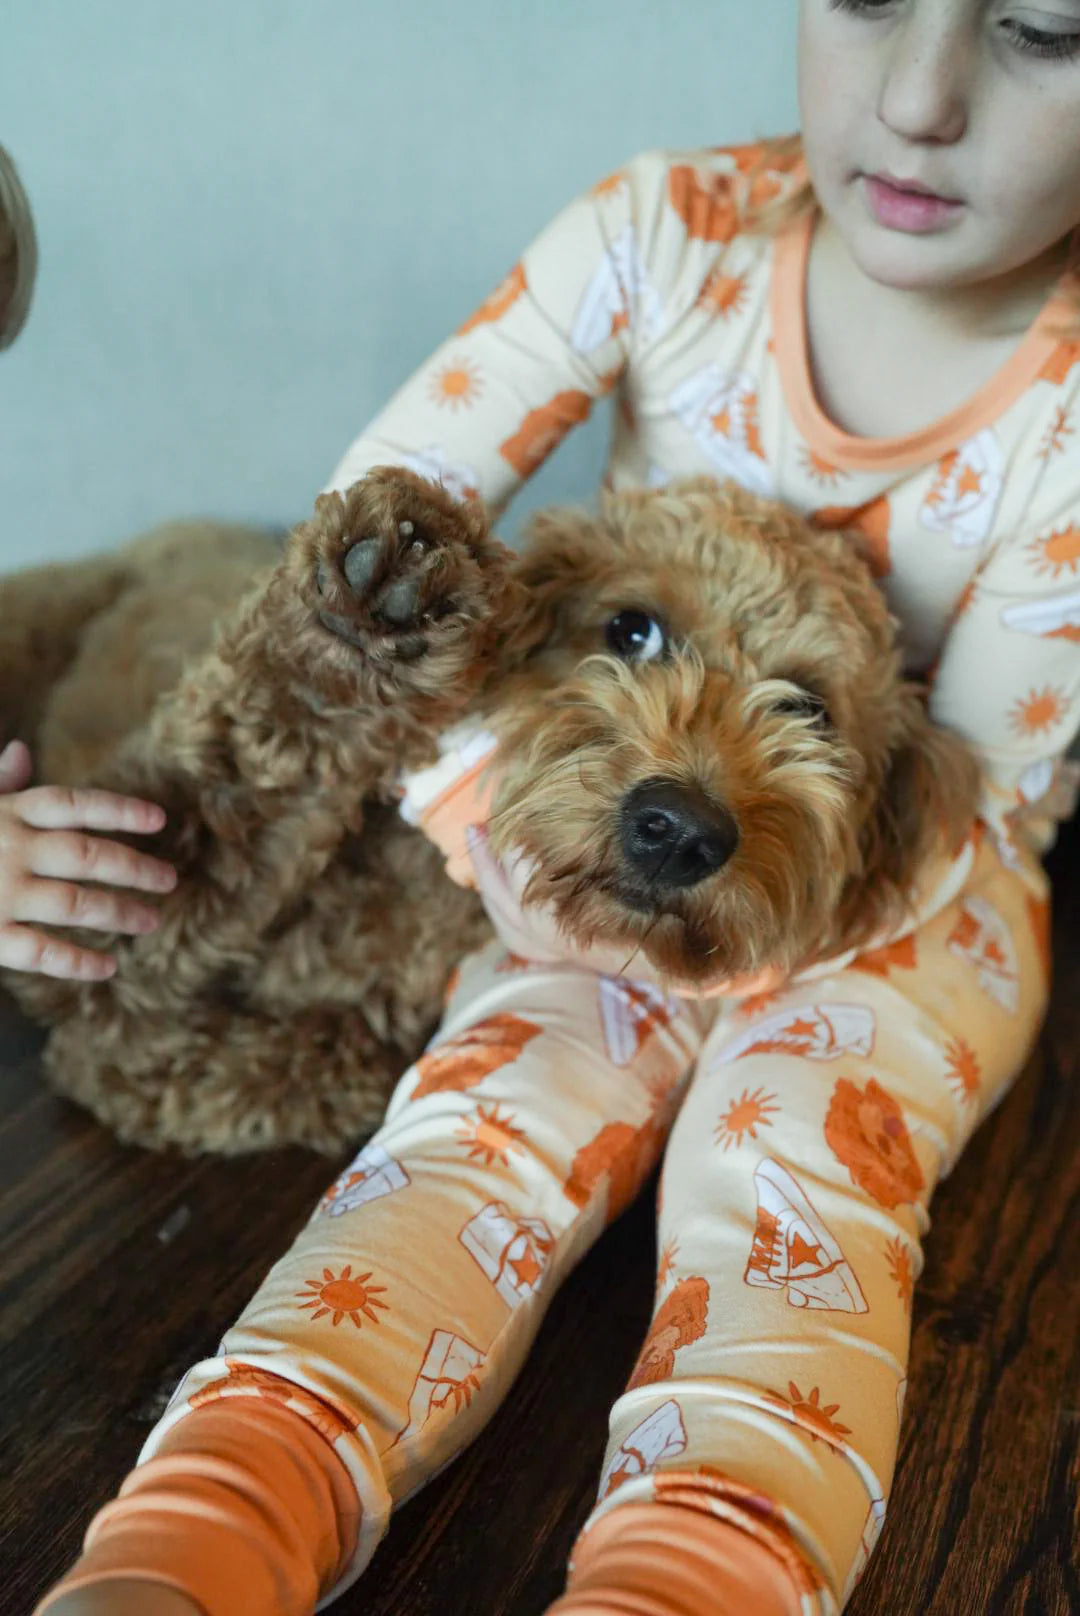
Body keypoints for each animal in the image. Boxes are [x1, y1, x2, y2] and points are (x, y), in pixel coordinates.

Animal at [0, 471, 976, 1157]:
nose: (680, 830)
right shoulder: (113, 928)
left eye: (809, 710)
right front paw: (379, 599)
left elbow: (266, 1058)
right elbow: (223, 778)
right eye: (631, 629)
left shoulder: (154, 1029)